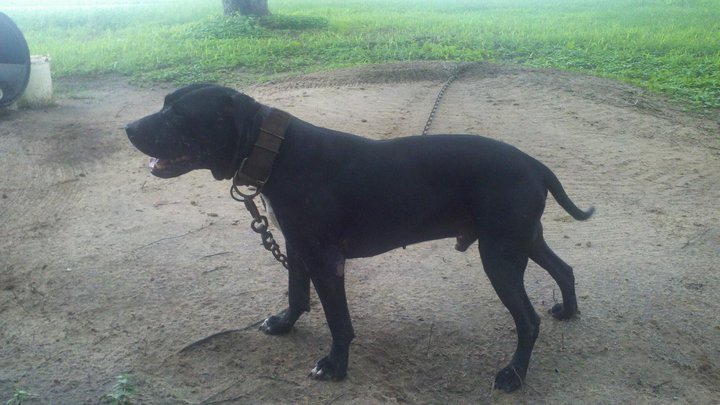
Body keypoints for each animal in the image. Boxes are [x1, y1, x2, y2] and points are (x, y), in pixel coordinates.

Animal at [126, 84, 594, 392]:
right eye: (164, 104)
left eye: (178, 114)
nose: (128, 128)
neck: (274, 150)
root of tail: (534, 164)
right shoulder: (297, 246)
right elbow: (297, 293)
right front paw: (284, 324)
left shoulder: (324, 259)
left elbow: (338, 320)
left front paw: (334, 366)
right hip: (523, 241)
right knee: (565, 270)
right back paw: (568, 311)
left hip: (499, 255)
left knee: (528, 321)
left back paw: (513, 375)